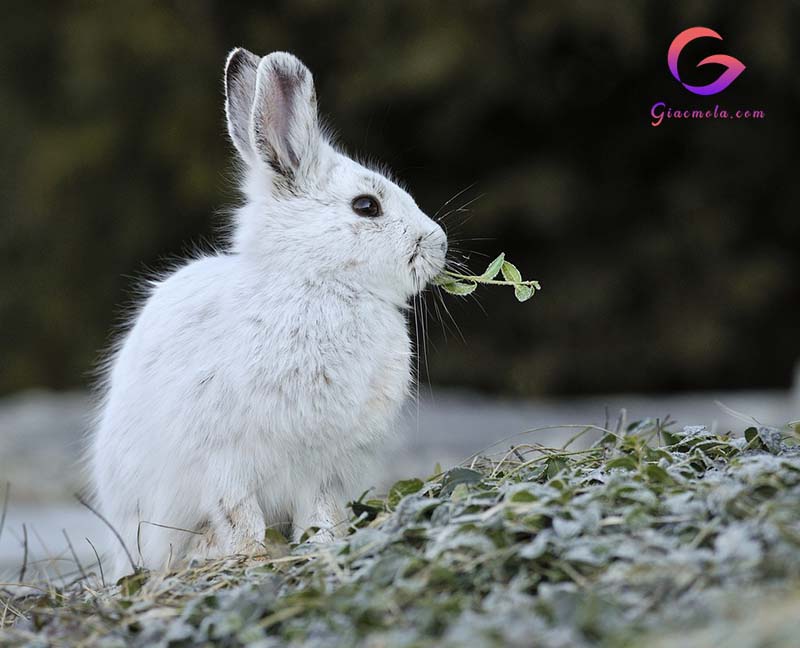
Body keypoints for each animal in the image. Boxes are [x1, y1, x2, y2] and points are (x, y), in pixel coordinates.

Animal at [92, 48, 450, 580]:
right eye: (366, 206)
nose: (439, 246)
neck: (318, 282)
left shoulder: (323, 468)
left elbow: (320, 512)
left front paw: (323, 545)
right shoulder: (223, 460)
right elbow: (239, 515)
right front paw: (253, 556)